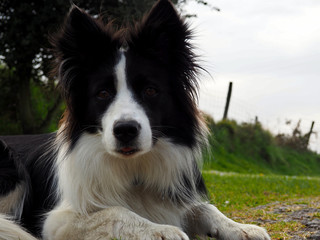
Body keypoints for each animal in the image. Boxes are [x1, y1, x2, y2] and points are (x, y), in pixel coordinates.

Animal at [0, 0, 270, 239]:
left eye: (150, 90)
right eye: (103, 93)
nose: (125, 130)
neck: (133, 169)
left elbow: (204, 207)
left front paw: (241, 228)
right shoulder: (56, 220)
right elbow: (115, 211)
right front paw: (160, 230)